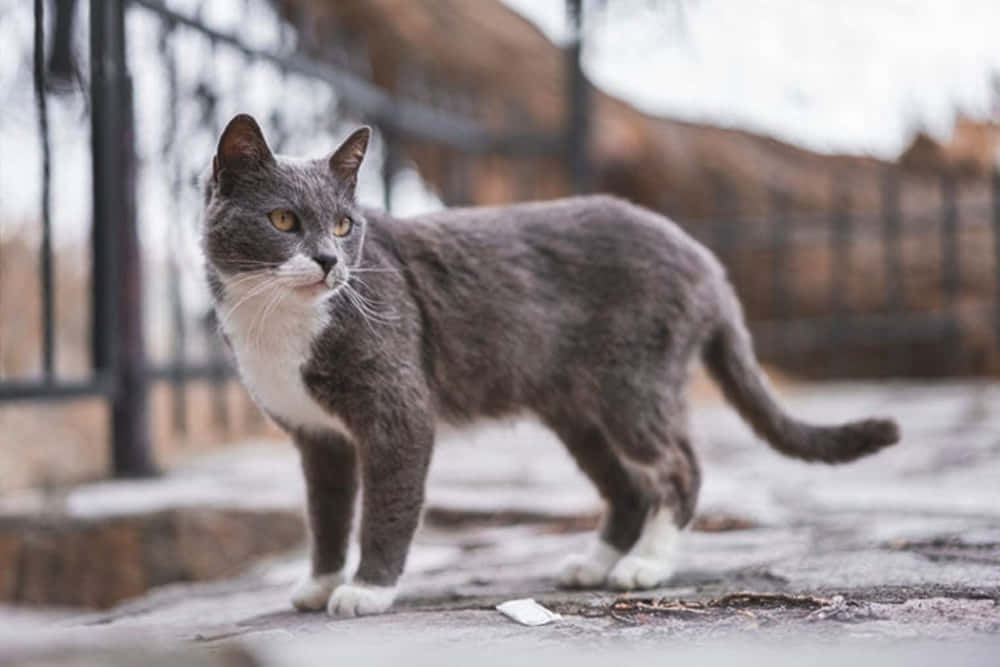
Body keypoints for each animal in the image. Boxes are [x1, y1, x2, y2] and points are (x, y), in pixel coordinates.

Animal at [201, 116, 900, 620]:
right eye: (284, 220)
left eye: (346, 226)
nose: (328, 261)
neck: (279, 324)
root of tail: (706, 259)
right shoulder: (317, 437)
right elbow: (325, 514)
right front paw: (319, 584)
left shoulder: (398, 414)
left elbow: (387, 507)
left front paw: (368, 590)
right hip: (577, 410)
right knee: (627, 487)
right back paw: (594, 565)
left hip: (632, 386)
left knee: (677, 467)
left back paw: (647, 565)